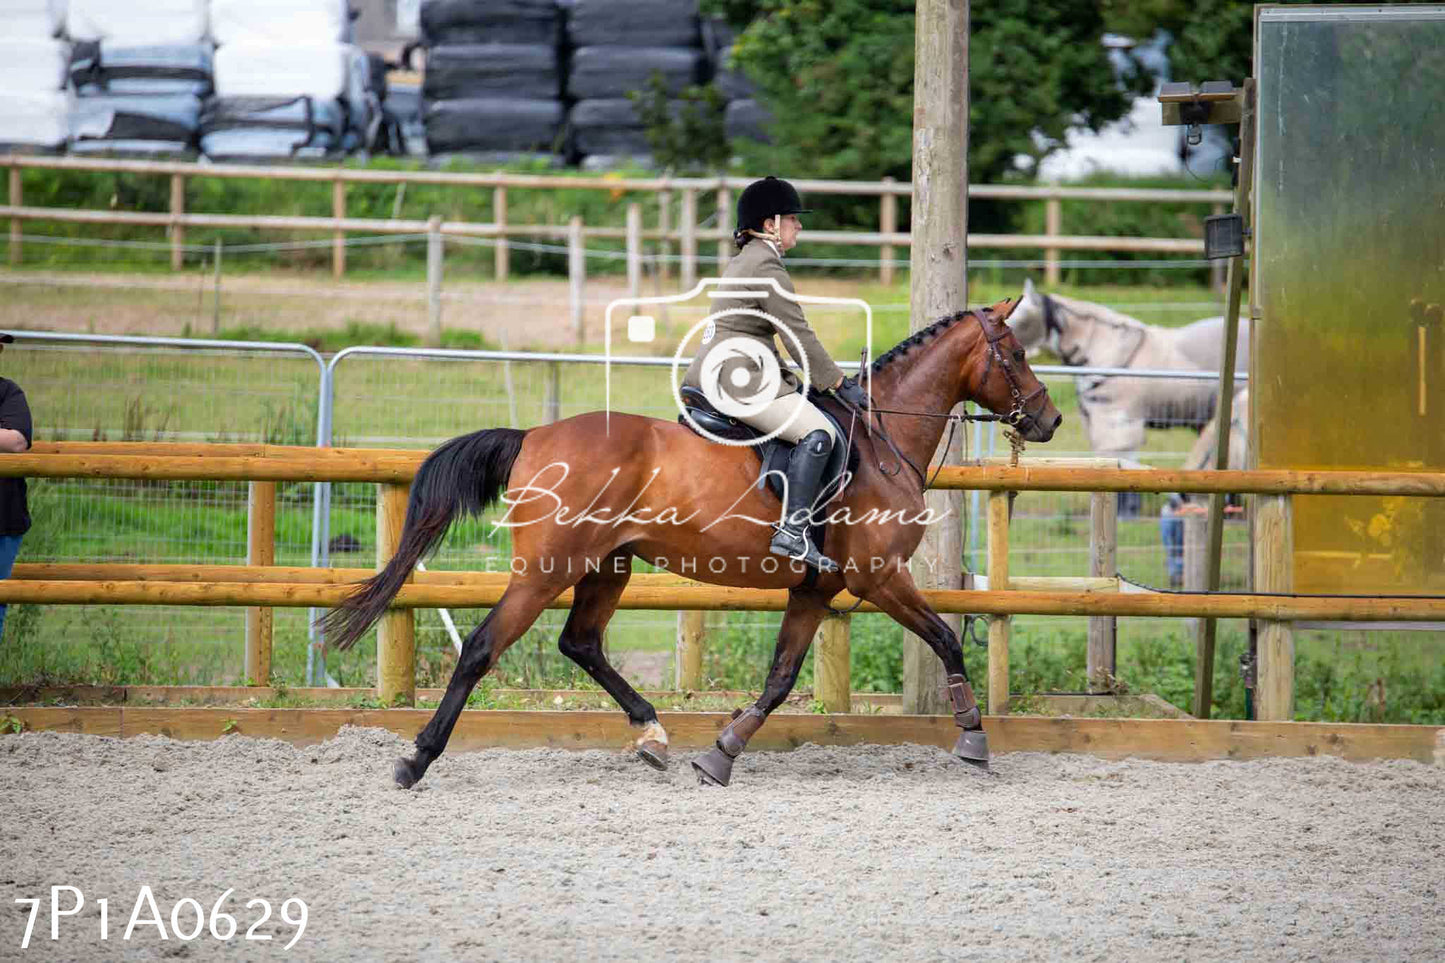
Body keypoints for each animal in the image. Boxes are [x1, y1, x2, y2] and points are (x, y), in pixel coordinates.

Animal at [325, 296, 1063, 786]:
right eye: (1018, 353)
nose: (1049, 419)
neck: (882, 440)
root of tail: (533, 436)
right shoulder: (878, 578)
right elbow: (944, 639)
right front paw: (972, 736)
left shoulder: (816, 587)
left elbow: (780, 676)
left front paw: (721, 751)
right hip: (546, 570)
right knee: (483, 647)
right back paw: (417, 757)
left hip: (608, 565)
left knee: (580, 643)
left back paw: (651, 733)